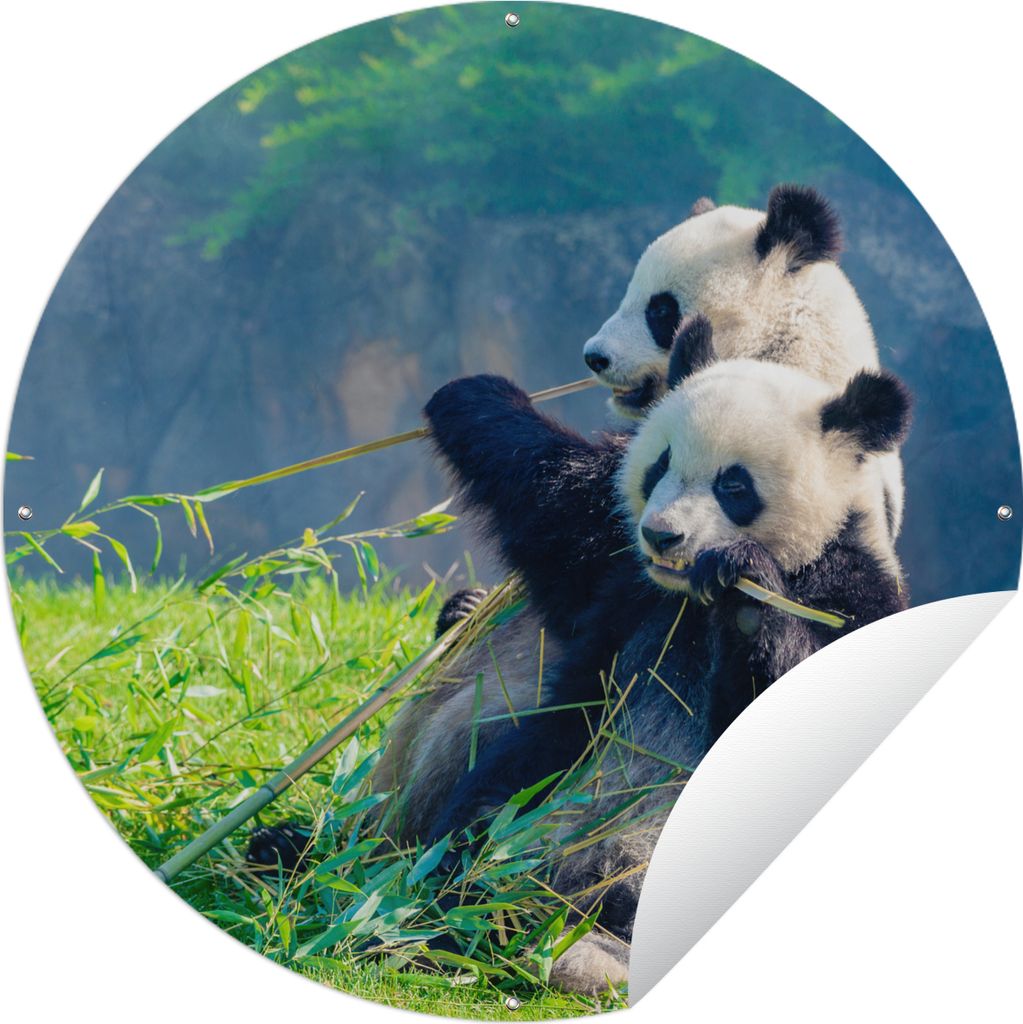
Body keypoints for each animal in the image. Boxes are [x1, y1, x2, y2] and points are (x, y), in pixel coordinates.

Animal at [406, 337, 911, 992]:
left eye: (734, 485)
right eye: (659, 465)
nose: (663, 536)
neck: (689, 601)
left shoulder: (848, 593)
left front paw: (746, 597)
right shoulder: (623, 583)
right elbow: (554, 499)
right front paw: (472, 395)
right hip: (542, 788)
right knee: (483, 817)